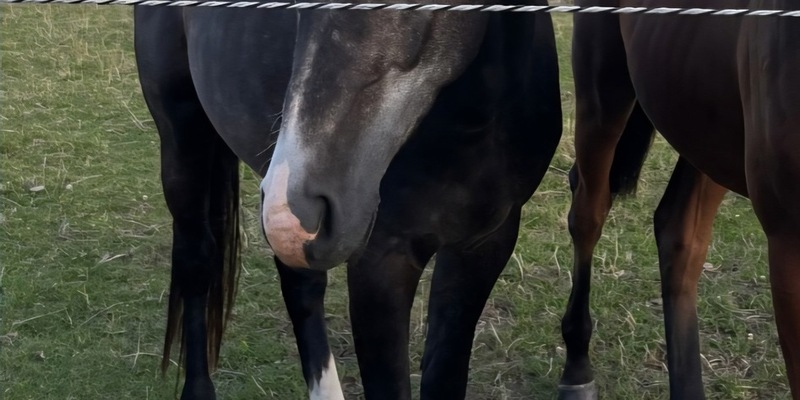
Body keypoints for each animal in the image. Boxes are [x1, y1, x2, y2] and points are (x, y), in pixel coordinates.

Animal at [134, 2, 563, 398]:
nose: (296, 204)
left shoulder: (483, 246)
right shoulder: (381, 263)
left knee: (300, 286)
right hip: (183, 136)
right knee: (197, 260)